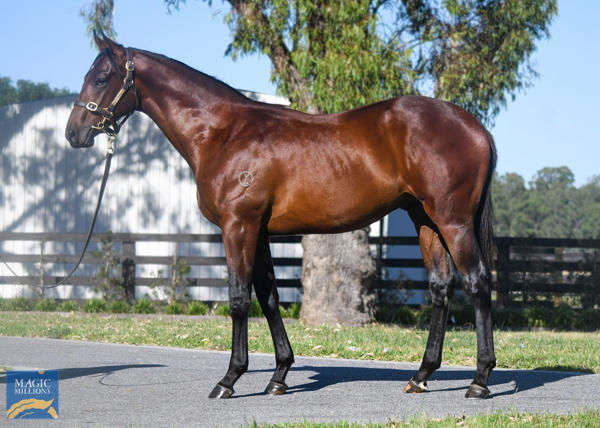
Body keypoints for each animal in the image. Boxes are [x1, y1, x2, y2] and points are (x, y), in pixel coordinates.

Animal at [65, 33, 496, 402]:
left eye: (101, 77)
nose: (74, 133)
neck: (223, 133)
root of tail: (476, 128)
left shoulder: (238, 226)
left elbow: (239, 298)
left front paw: (229, 379)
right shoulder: (260, 232)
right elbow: (268, 295)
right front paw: (279, 376)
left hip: (453, 221)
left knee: (477, 283)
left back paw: (479, 380)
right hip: (425, 221)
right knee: (441, 287)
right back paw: (421, 376)